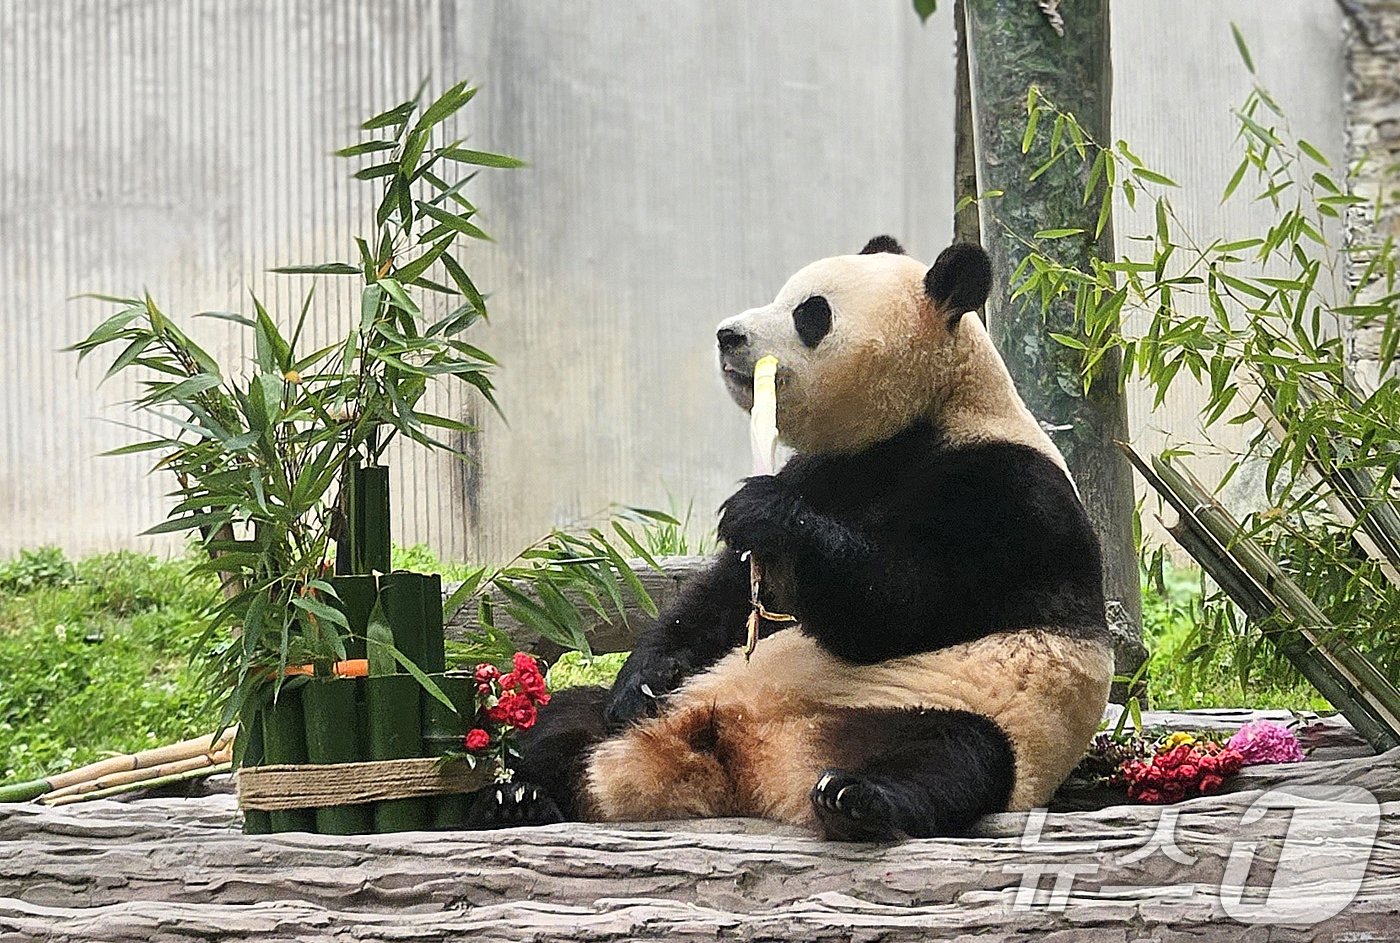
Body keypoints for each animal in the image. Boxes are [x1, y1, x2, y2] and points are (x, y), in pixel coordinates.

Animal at [470, 239, 1114, 839]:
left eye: (811, 313)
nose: (728, 335)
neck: (930, 416)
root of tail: (744, 765)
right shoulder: (829, 469)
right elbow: (724, 598)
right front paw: (645, 676)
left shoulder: (1009, 496)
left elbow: (907, 607)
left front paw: (764, 512)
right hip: (657, 712)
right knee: (564, 720)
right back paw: (518, 799)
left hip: (964, 713)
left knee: (955, 754)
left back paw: (857, 800)